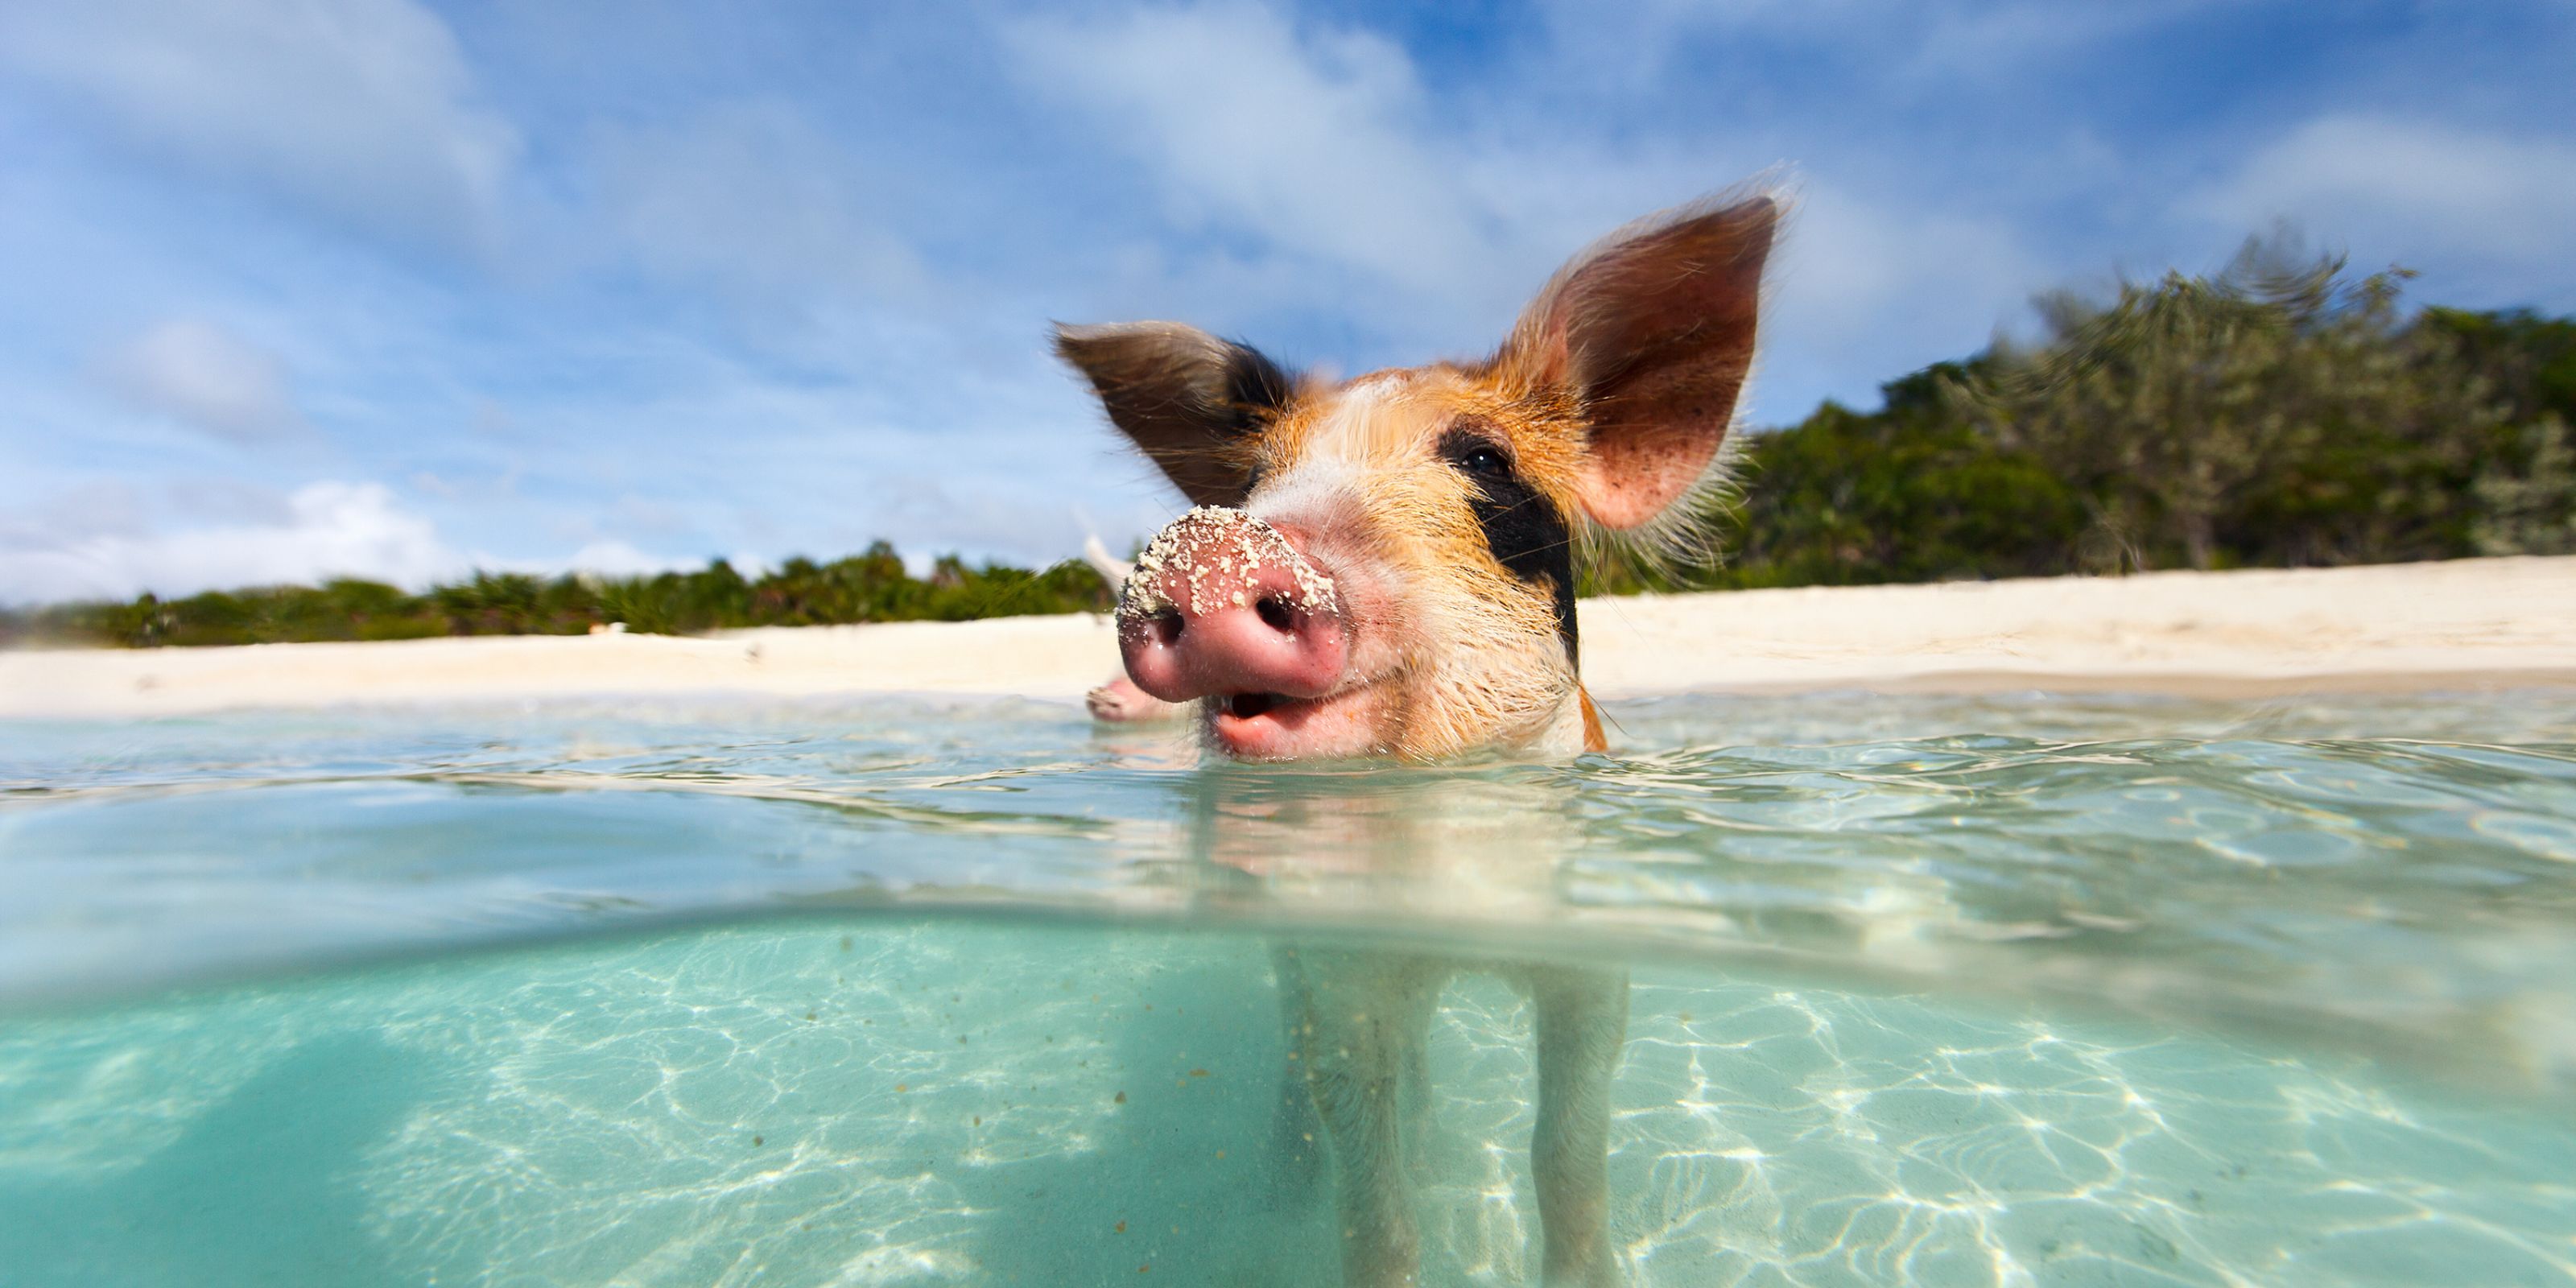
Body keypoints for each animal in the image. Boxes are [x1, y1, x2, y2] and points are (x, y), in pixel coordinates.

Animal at [1056, 191, 1777, 1287]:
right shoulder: (1341, 966)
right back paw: (1285, 1183)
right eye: (1255, 478)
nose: (1212, 544)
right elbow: (1370, 1187)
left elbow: (1565, 1149)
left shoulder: (1589, 963)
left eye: (1481, 457)